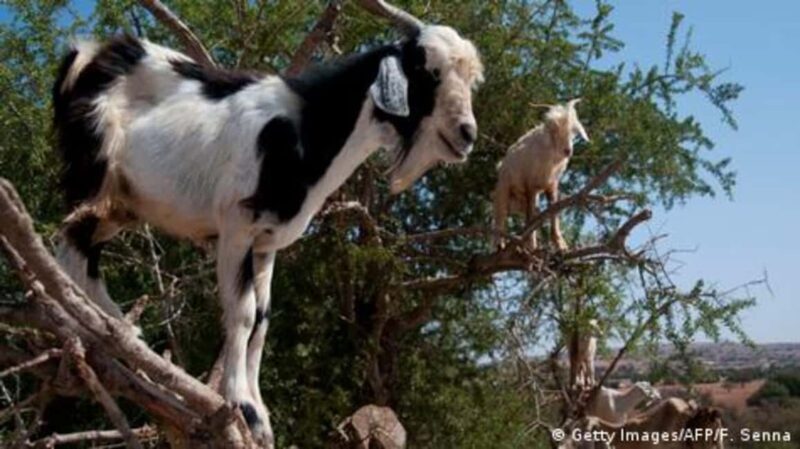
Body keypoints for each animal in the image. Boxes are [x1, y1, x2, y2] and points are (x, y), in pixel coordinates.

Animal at [50, 1, 483, 445]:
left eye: (471, 80)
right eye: (428, 70)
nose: (466, 134)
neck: (306, 130)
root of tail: (89, 54)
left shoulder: (267, 242)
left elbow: (262, 319)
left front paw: (262, 414)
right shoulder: (237, 226)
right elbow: (241, 313)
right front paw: (244, 407)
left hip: (123, 204)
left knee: (82, 251)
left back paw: (121, 333)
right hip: (93, 176)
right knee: (70, 248)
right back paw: (98, 330)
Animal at [492, 99, 589, 250]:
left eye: (573, 131)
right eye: (554, 129)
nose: (567, 151)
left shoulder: (552, 185)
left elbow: (552, 211)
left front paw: (560, 244)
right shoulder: (530, 185)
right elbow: (530, 218)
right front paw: (531, 246)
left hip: (522, 201)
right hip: (503, 190)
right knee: (501, 216)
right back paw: (500, 243)